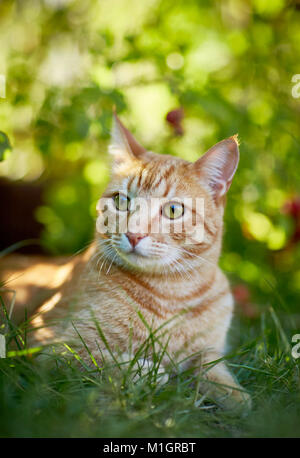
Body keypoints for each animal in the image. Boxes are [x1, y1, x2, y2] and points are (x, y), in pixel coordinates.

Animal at [2, 114, 252, 412]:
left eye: (173, 210)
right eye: (121, 201)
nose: (134, 234)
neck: (171, 294)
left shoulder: (209, 352)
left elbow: (217, 375)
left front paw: (238, 398)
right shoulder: (42, 340)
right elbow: (103, 360)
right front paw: (147, 372)